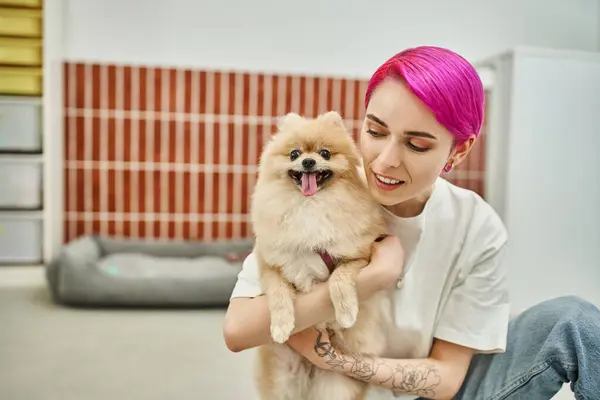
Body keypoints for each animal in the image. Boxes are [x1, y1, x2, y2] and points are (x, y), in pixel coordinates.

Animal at [250, 111, 394, 400]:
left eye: (324, 153)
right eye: (294, 154)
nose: (308, 161)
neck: (310, 207)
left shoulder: (358, 257)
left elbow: (339, 279)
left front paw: (346, 312)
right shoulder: (270, 263)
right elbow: (278, 293)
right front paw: (281, 326)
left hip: (335, 384)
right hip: (283, 378)